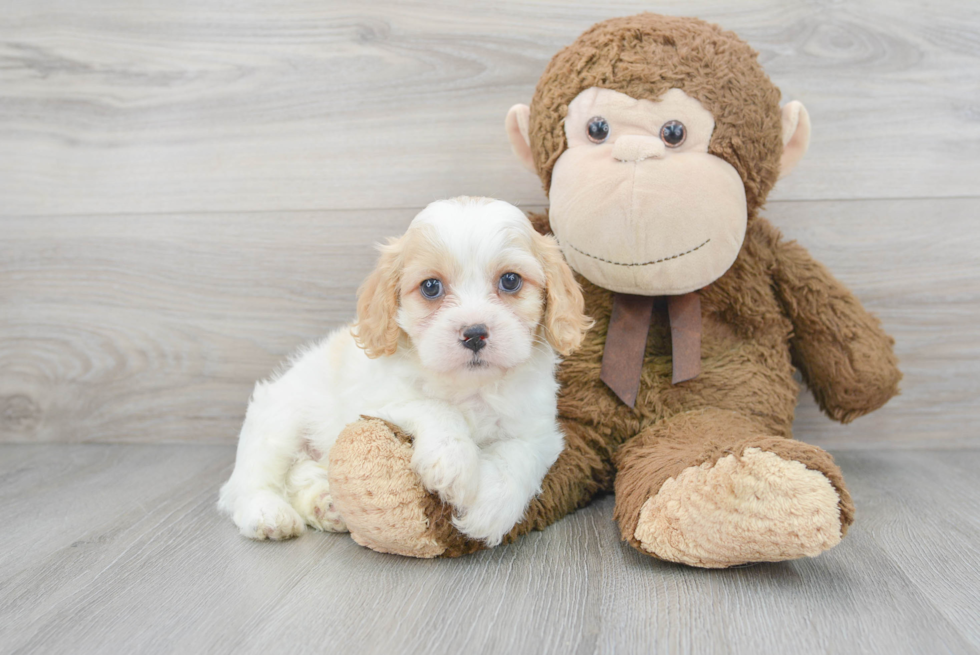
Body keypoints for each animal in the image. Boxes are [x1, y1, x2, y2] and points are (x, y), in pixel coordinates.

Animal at [218, 197, 588, 544]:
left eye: (510, 281)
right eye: (430, 287)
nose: (474, 333)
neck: (470, 387)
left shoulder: (540, 432)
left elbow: (518, 455)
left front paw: (488, 509)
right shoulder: (376, 401)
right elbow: (434, 407)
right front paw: (453, 462)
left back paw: (326, 503)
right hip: (279, 421)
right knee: (246, 483)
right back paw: (268, 513)